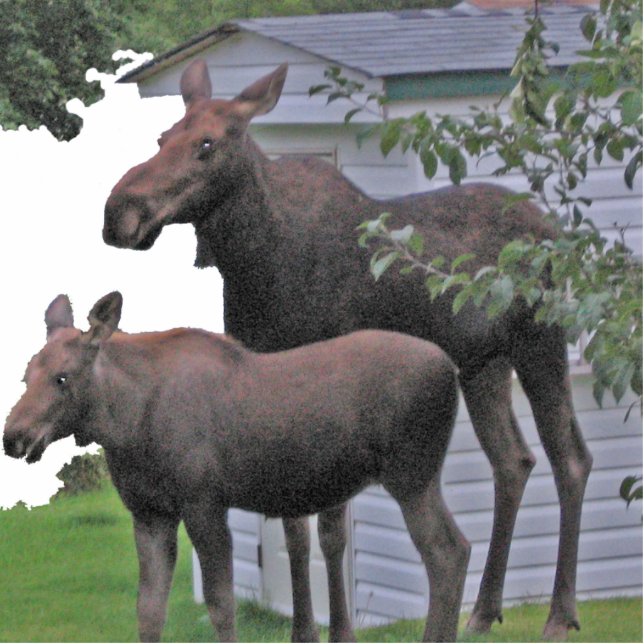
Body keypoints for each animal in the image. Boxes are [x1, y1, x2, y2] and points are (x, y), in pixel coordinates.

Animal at [102, 59, 593, 641]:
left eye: (206, 143)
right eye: (162, 137)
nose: (119, 211)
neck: (254, 267)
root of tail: (553, 228)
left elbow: (332, 532)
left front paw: (338, 629)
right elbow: (294, 530)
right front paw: (302, 630)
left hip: (541, 339)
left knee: (570, 459)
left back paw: (560, 612)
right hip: (483, 365)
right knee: (513, 462)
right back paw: (483, 610)